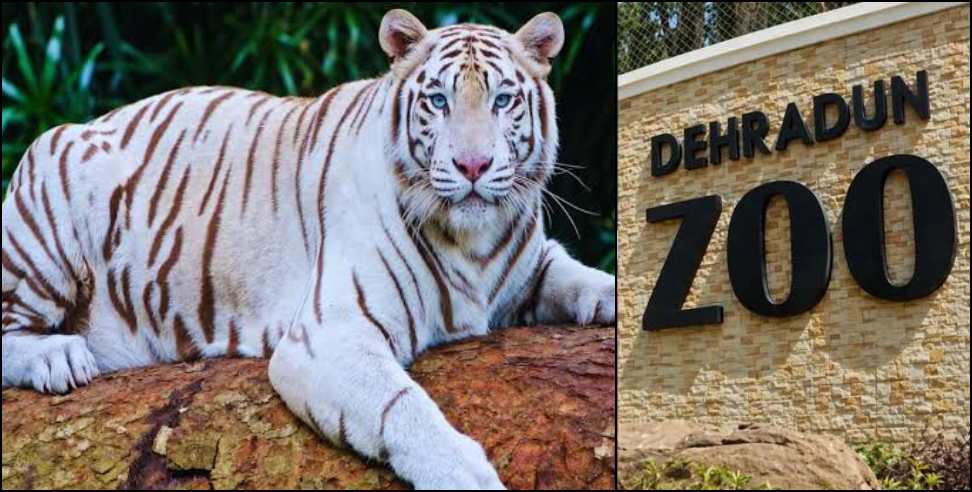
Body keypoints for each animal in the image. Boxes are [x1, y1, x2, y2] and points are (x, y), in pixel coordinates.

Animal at [0, 9, 615, 489]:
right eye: (438, 101)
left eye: (503, 100)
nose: (473, 165)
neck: (474, 245)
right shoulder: (329, 336)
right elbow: (403, 408)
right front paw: (466, 476)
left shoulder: (529, 266)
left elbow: (579, 277)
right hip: (48, 202)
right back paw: (58, 357)